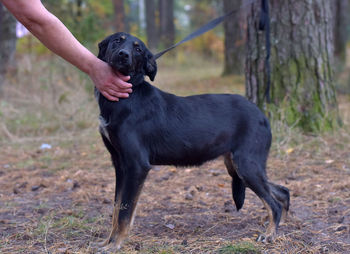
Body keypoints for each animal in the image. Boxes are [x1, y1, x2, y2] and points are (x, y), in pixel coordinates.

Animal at [95, 31, 290, 250]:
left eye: (137, 48)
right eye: (117, 41)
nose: (123, 55)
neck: (128, 96)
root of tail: (262, 115)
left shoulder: (137, 166)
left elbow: (124, 212)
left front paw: (115, 245)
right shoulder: (120, 164)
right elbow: (117, 209)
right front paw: (108, 241)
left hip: (246, 165)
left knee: (273, 203)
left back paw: (270, 234)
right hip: (239, 166)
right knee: (282, 192)